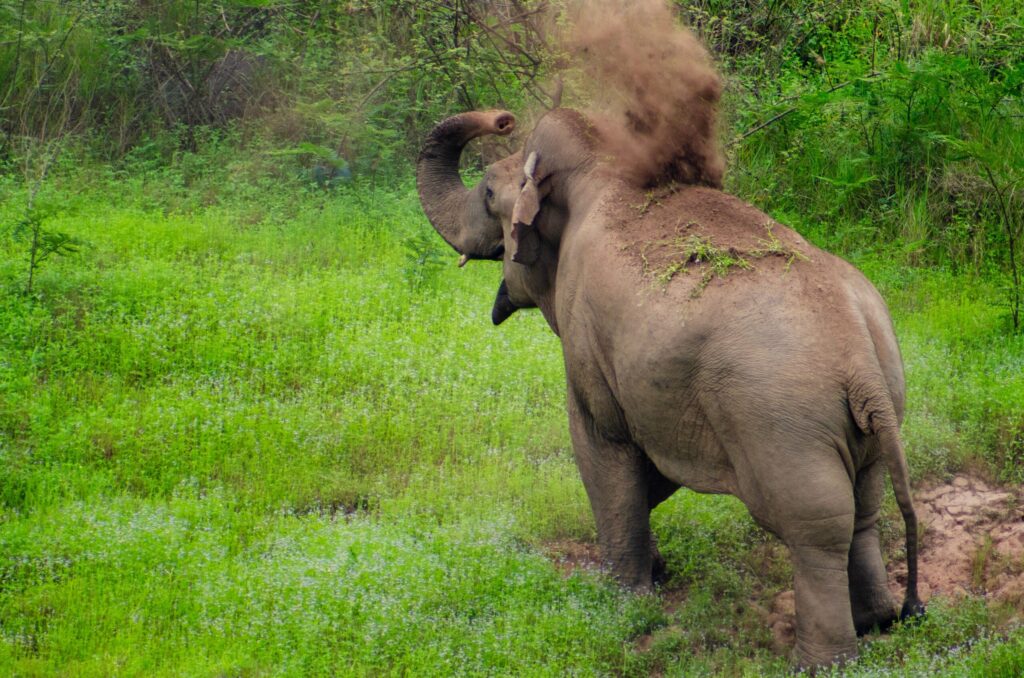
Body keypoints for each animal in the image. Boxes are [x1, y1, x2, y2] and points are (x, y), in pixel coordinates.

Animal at [415, 108, 924, 669]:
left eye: (487, 191)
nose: (501, 118)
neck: (598, 165)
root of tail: (859, 357)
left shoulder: (587, 342)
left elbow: (601, 450)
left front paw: (622, 599)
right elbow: (651, 470)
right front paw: (654, 571)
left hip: (782, 427)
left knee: (817, 524)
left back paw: (822, 663)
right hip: (874, 414)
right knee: (864, 506)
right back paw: (877, 621)